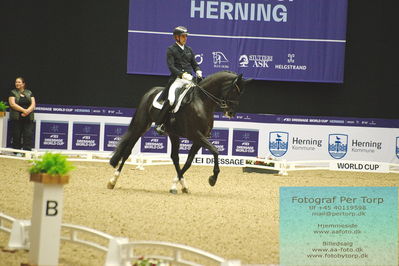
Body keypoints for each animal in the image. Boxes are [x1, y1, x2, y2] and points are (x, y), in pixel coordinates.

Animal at [108, 69, 252, 192]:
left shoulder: (200, 139)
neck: (202, 102)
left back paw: (183, 185)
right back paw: (112, 181)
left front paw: (176, 185)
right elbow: (215, 151)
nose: (231, 113)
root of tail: (151, 92)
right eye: (234, 91)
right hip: (141, 126)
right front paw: (213, 179)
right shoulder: (195, 135)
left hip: (173, 134)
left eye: (241, 93)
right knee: (127, 151)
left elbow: (188, 162)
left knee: (174, 157)